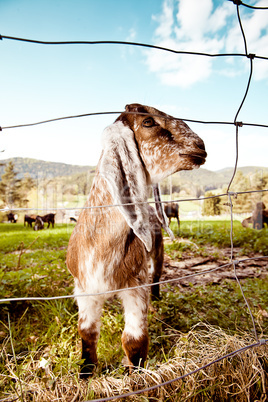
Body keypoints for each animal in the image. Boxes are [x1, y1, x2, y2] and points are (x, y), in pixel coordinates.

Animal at [66, 103, 206, 376]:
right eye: (148, 121)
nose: (200, 146)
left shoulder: (136, 286)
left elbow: (134, 340)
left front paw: (136, 374)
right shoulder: (84, 289)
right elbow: (87, 332)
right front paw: (86, 372)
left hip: (158, 254)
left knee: (157, 276)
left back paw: (158, 297)